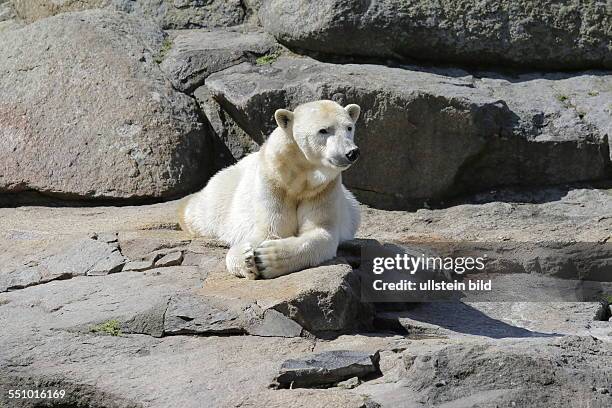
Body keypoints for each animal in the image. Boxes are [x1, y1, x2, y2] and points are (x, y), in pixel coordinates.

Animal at [179, 100, 364, 278]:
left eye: (349, 127)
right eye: (323, 130)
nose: (351, 152)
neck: (299, 178)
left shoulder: (324, 188)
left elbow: (319, 231)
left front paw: (266, 258)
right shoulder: (273, 182)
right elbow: (269, 230)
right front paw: (246, 258)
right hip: (224, 193)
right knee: (203, 213)